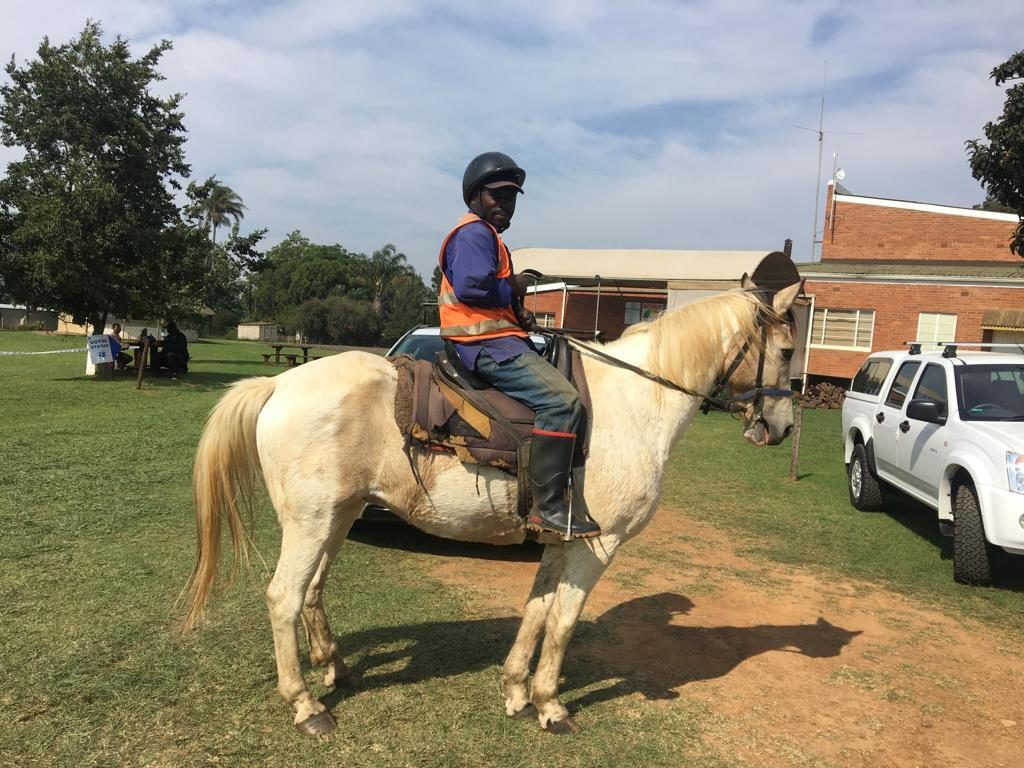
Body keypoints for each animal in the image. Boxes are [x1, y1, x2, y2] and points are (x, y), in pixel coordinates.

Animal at [186, 280, 806, 737]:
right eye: (785, 351)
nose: (780, 428)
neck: (635, 402)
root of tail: (277, 384)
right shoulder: (598, 545)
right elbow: (563, 622)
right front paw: (551, 706)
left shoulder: (561, 539)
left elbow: (536, 612)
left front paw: (516, 692)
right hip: (313, 523)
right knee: (284, 597)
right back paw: (306, 706)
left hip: (336, 518)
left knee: (313, 590)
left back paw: (334, 668)